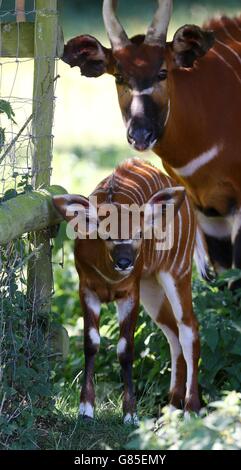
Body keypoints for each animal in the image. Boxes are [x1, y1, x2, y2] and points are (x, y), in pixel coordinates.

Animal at [53, 157, 203, 422]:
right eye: (106, 234)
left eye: (140, 233)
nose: (125, 262)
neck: (110, 277)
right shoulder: (87, 289)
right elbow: (90, 343)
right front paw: (85, 409)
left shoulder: (130, 293)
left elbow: (126, 349)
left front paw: (130, 414)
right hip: (152, 287)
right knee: (172, 333)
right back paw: (170, 409)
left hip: (177, 271)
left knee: (189, 330)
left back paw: (190, 410)